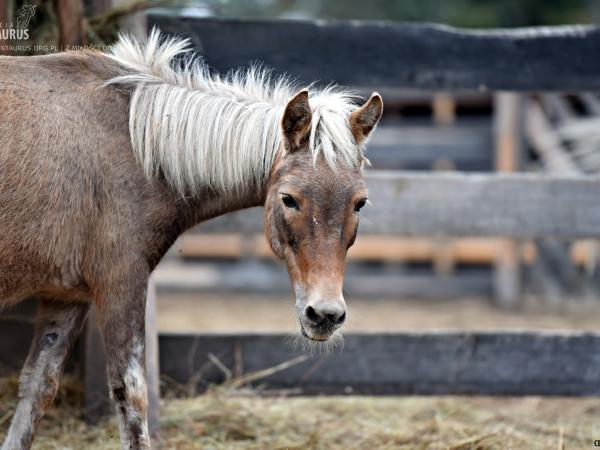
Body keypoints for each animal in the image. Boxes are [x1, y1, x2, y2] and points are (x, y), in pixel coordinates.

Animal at [0, 29, 384, 448]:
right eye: (289, 199)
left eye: (360, 202)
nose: (325, 315)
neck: (136, 146)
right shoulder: (120, 283)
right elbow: (131, 395)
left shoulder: (67, 296)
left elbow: (37, 388)